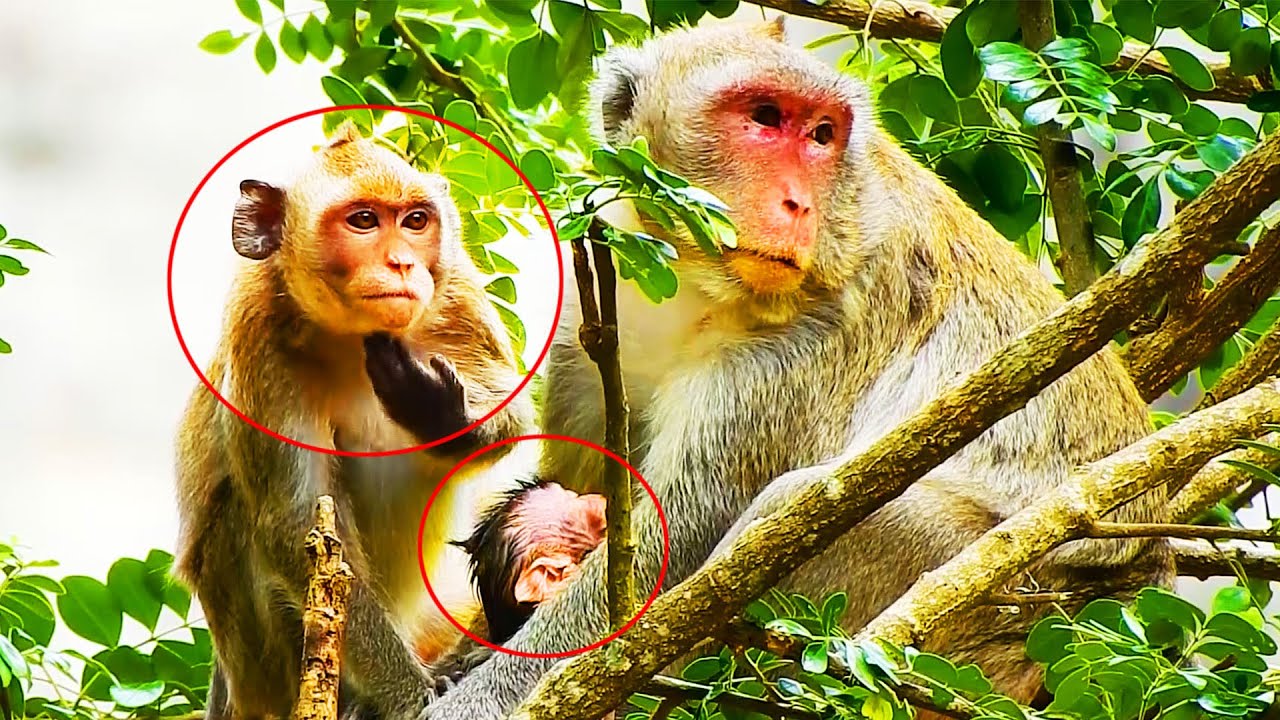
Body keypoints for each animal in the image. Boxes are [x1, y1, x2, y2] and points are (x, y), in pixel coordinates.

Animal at [173, 121, 533, 720]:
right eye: (363, 221)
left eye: (415, 221)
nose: (403, 264)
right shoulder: (258, 331)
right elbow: (296, 520)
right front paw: (411, 697)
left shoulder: (456, 291)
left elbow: (514, 412)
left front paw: (438, 411)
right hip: (263, 667)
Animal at [420, 19, 1172, 719]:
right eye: (763, 117)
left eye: (821, 134)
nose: (798, 205)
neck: (696, 281)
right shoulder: (592, 308)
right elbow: (587, 488)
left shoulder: (802, 348)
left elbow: (665, 562)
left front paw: (471, 698)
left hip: (996, 596)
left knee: (794, 509)